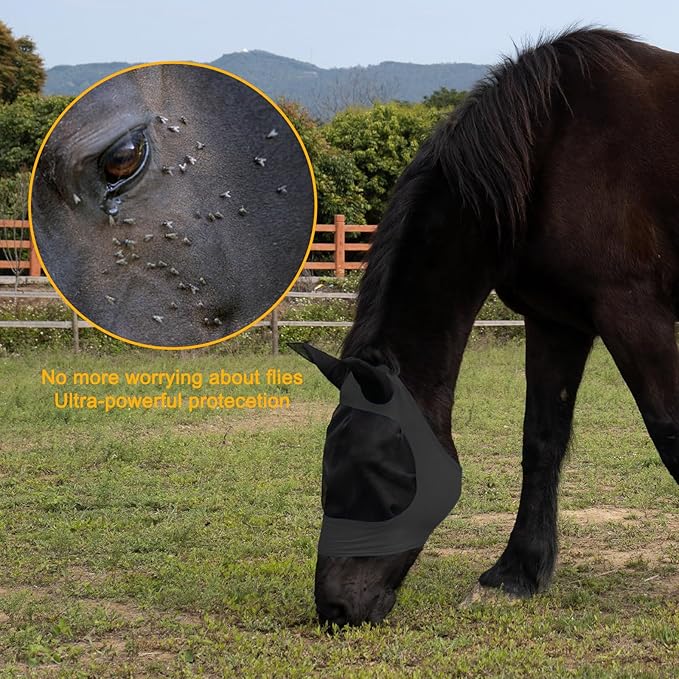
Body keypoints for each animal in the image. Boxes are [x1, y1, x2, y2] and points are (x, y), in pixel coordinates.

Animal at [305, 28, 679, 628]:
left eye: (382, 471)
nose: (335, 607)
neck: (551, 149)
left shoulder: (635, 314)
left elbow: (669, 431)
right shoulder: (555, 321)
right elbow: (541, 440)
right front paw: (516, 572)